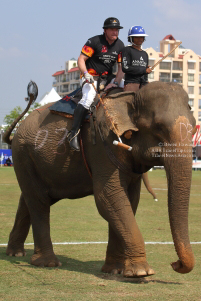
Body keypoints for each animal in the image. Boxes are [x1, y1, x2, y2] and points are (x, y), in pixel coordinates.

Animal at [3, 80, 196, 276]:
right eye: (158, 127)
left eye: (195, 127)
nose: (175, 264)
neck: (130, 97)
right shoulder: (102, 144)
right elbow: (108, 198)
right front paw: (142, 272)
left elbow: (129, 200)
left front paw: (115, 270)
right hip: (23, 153)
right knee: (39, 201)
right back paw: (47, 263)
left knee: (30, 198)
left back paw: (15, 253)